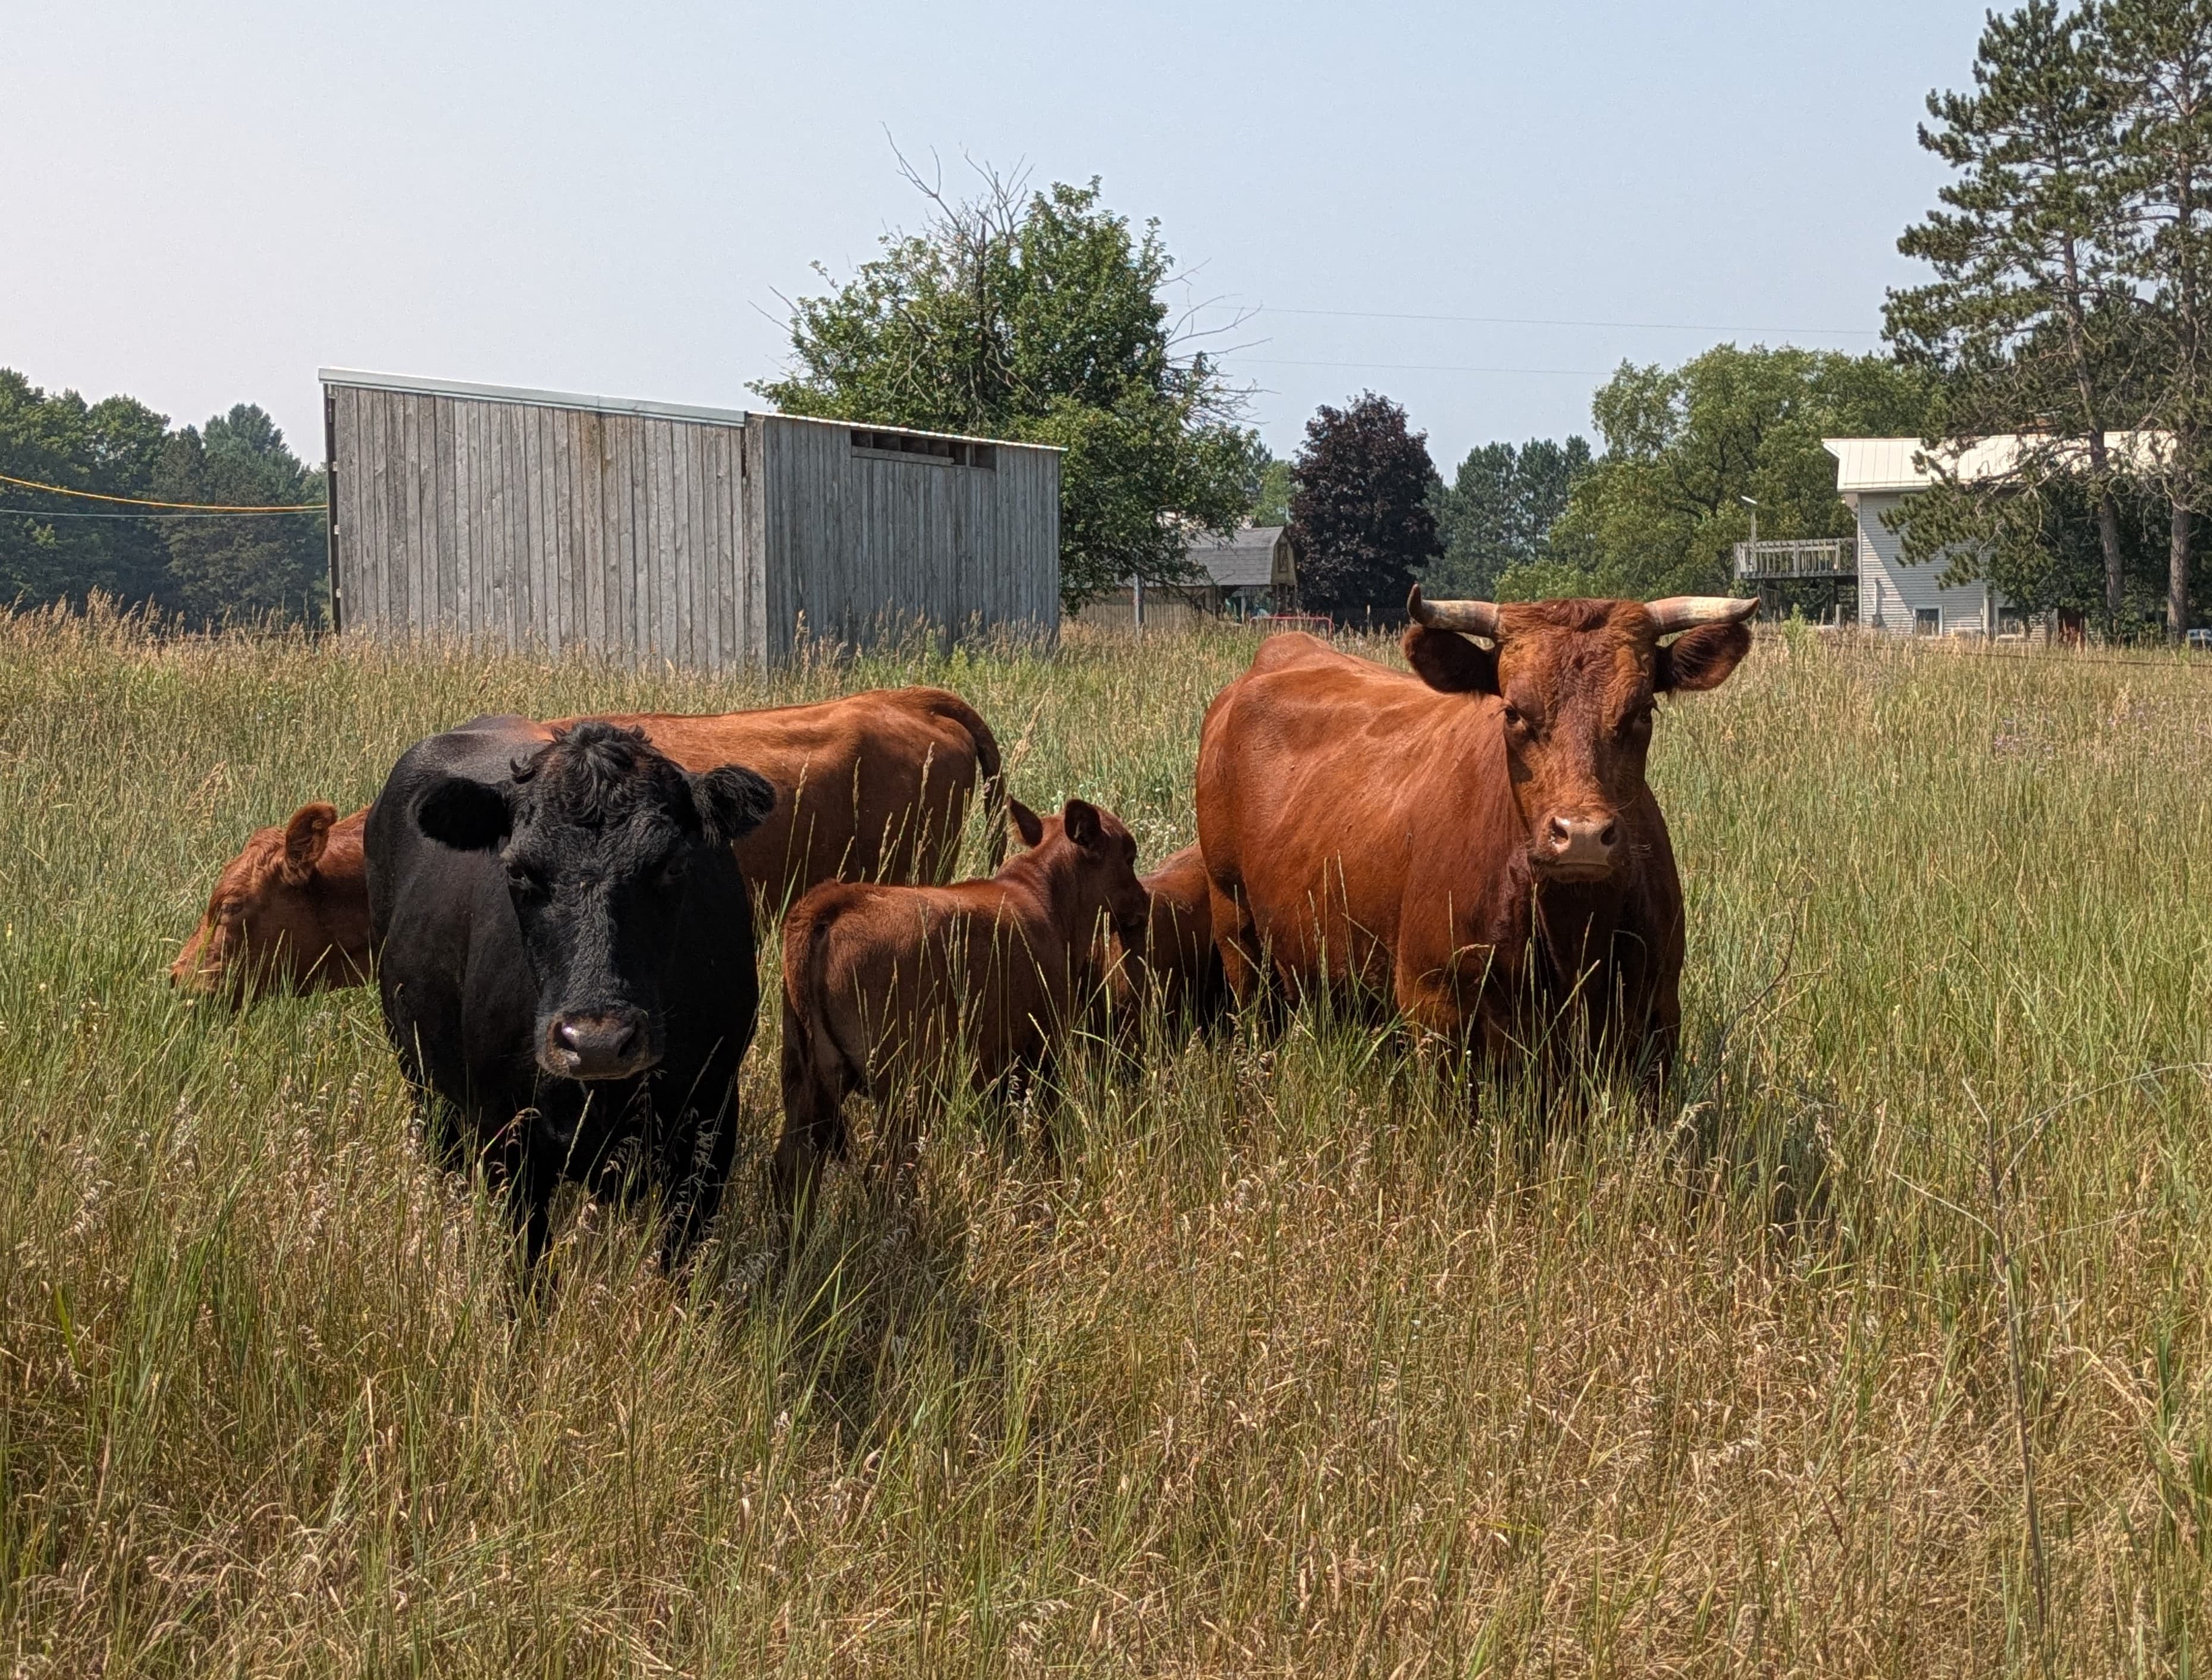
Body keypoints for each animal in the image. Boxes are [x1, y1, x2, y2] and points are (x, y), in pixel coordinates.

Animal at [367, 717, 776, 1269]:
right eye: (517, 868)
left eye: (672, 864)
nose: (597, 1042)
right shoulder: (509, 1135)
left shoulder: (710, 1124)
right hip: (422, 1080)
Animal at [775, 797, 1151, 1204]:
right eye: (1129, 857)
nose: (1145, 902)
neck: (1045, 898)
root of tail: (835, 902)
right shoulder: (1045, 1049)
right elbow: (1048, 1133)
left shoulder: (992, 1071)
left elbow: (1006, 1139)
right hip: (907, 1086)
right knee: (884, 1171)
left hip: (803, 1080)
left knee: (792, 1166)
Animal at [1194, 589, 1757, 1082]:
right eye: (1511, 711)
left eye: (1642, 711)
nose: (1581, 835)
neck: (1570, 931)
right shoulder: (1434, 1004)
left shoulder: (1658, 1009)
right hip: (1235, 921)